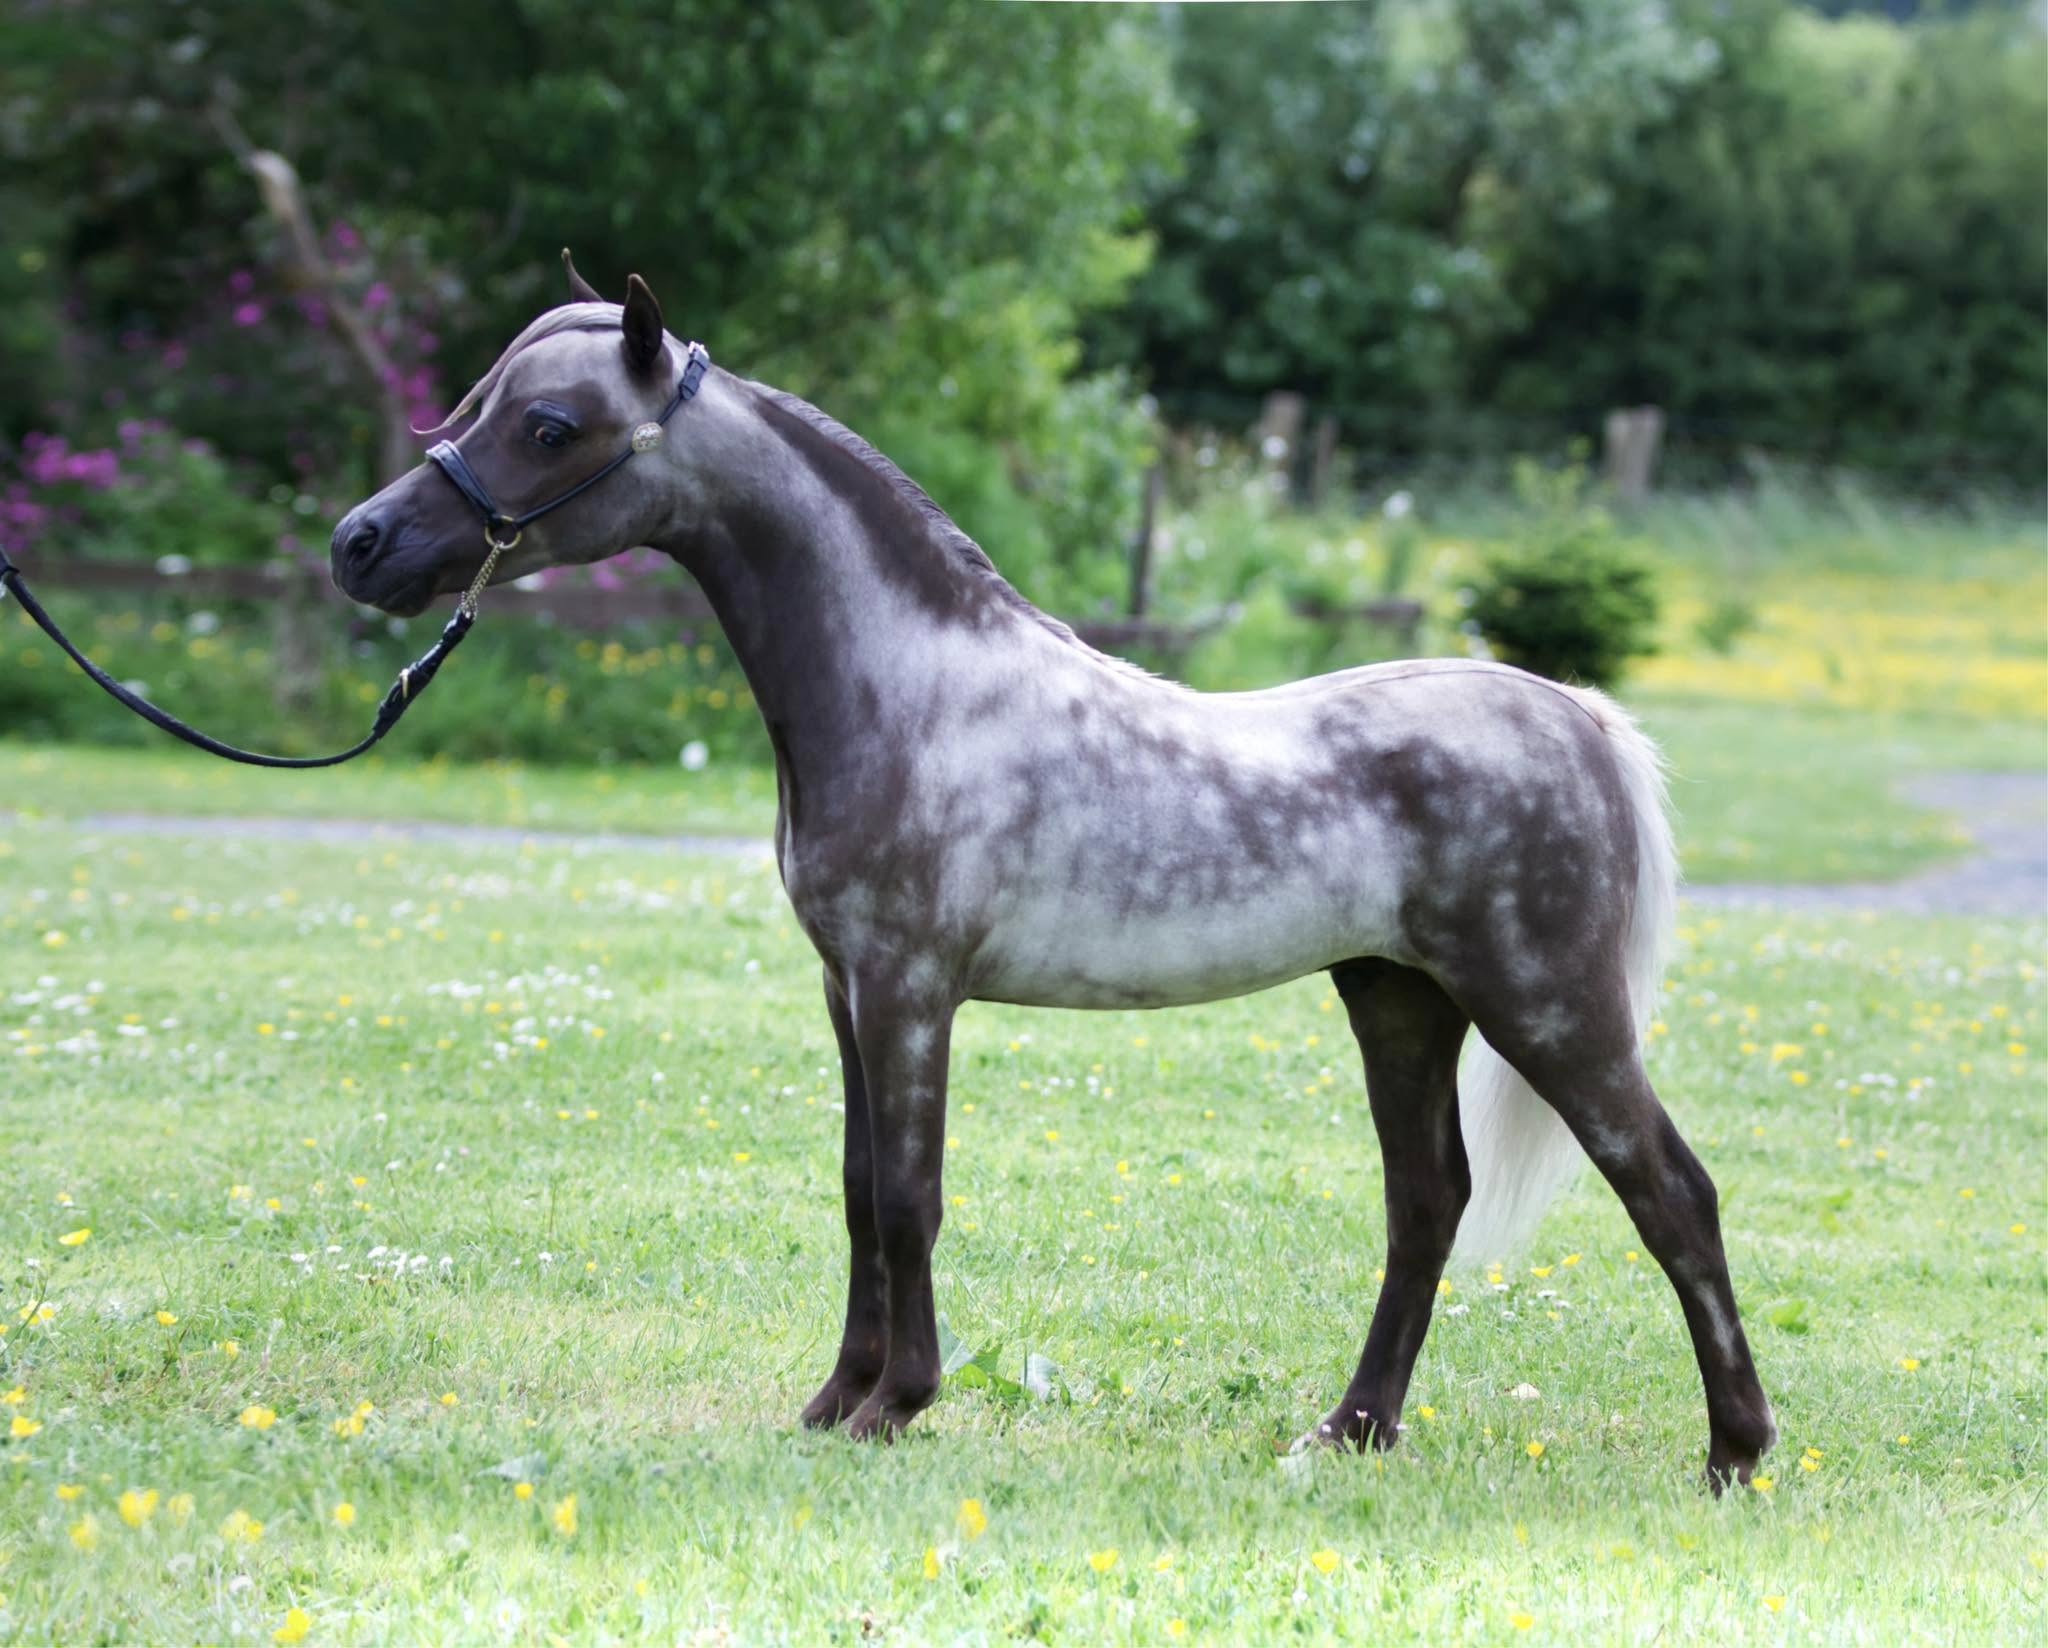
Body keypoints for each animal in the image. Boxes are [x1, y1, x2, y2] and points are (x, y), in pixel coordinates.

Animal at [330, 263, 1777, 1489]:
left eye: (551, 425)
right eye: (475, 400)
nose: (360, 545)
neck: (910, 686)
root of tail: (1574, 712)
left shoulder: (910, 988)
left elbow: (908, 1196)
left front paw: (894, 1406)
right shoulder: (845, 989)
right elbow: (857, 1190)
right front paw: (833, 1401)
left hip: (1549, 1006)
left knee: (1671, 1193)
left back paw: (1734, 1454)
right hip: (1398, 999)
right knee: (1427, 1204)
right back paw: (1349, 1432)